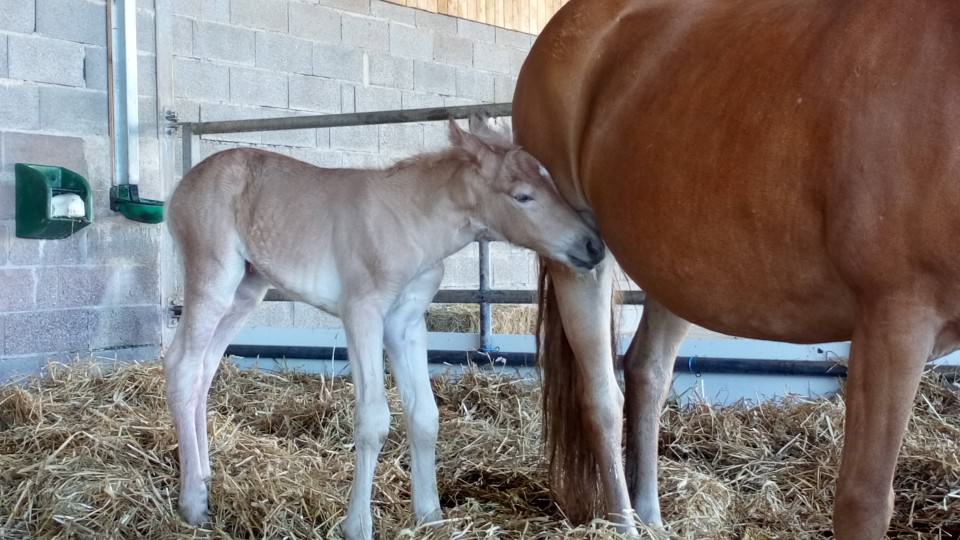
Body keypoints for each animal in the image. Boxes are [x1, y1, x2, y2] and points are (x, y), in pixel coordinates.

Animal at [163, 116, 600, 536]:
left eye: (551, 181)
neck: (410, 220)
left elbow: (424, 416)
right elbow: (373, 419)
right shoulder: (363, 312)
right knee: (182, 365)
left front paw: (430, 516)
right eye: (523, 196)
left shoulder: (406, 323)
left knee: (203, 370)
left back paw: (204, 479)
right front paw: (357, 526)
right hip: (214, 278)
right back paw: (192, 504)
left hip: (246, 291)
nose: (593, 245)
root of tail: (183, 186)